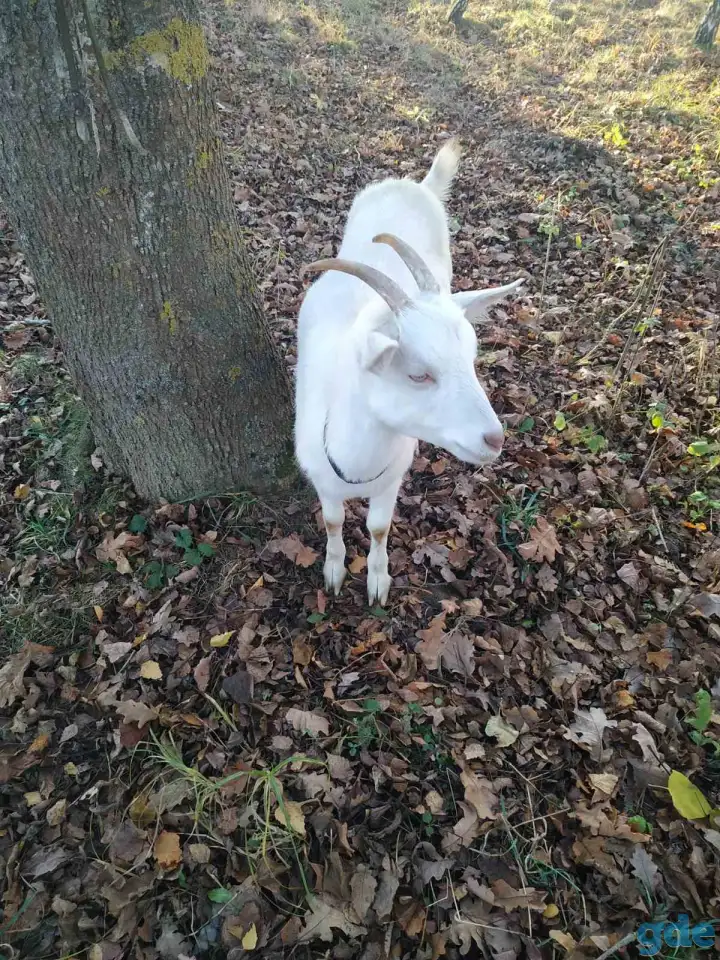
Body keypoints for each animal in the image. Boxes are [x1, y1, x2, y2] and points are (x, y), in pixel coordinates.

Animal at [295, 140, 523, 605]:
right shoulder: (322, 481)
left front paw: (378, 581)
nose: (494, 439)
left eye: (471, 357)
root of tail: (417, 185)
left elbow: (379, 527)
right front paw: (334, 571)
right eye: (419, 374)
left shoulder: (390, 481)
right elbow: (332, 522)